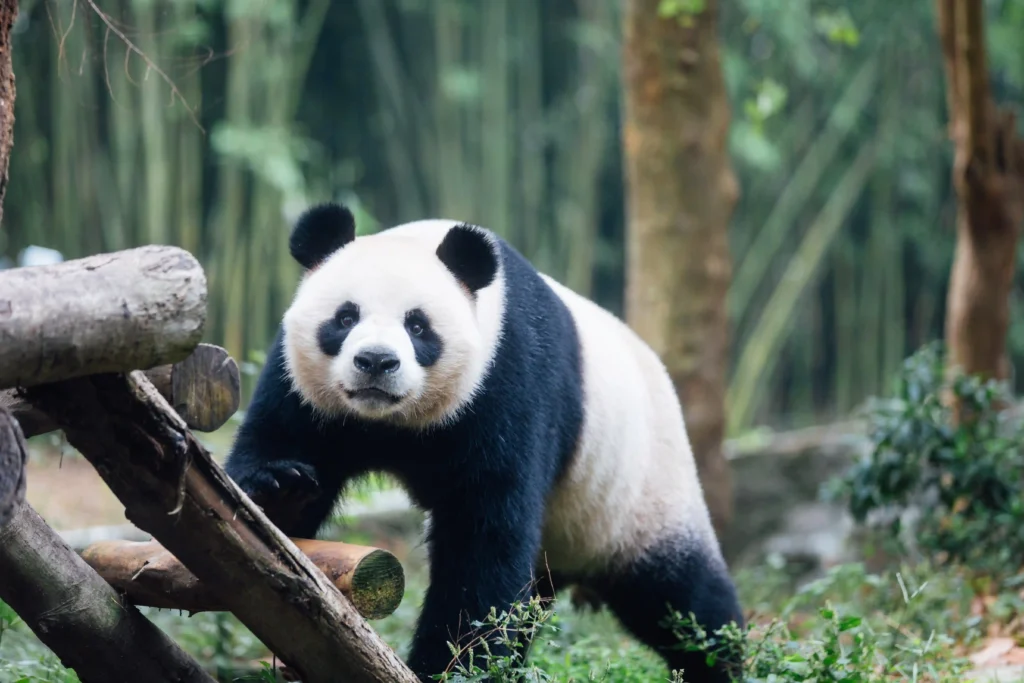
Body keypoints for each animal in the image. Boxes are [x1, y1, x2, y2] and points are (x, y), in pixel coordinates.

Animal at [224, 204, 745, 683]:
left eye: (418, 326)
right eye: (345, 317)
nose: (375, 361)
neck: (389, 422)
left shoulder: (506, 382)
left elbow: (484, 538)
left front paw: (450, 667)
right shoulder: (303, 391)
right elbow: (279, 468)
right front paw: (284, 488)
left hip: (642, 491)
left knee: (683, 600)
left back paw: (726, 660)